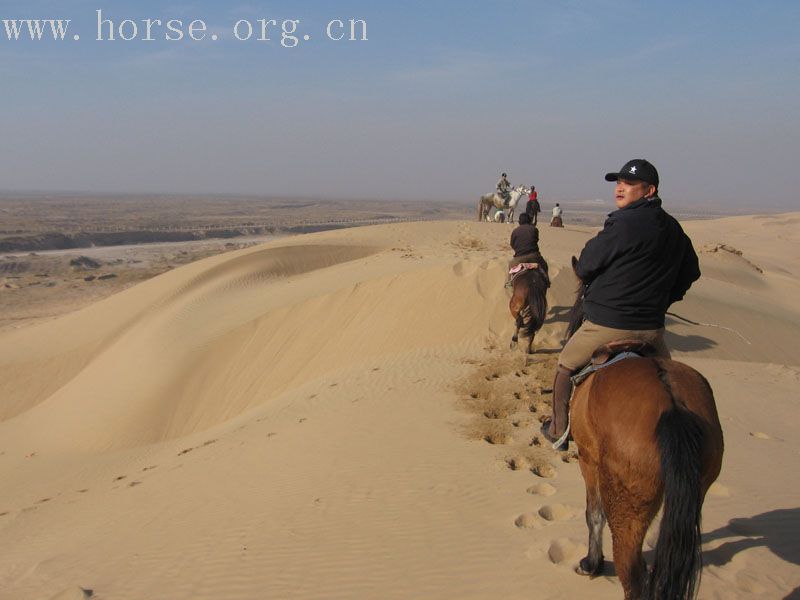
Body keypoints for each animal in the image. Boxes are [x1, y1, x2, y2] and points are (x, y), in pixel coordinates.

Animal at [564, 255, 724, 596]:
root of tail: (672, 407)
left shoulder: (588, 458)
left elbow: (593, 513)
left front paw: (591, 564)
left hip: (629, 503)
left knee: (633, 574)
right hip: (695, 492)